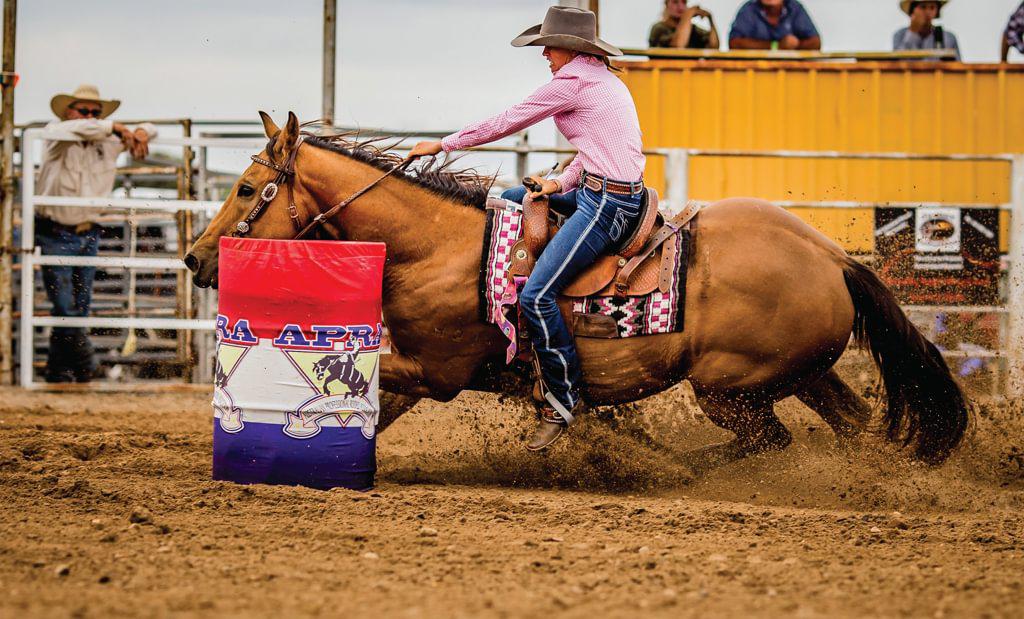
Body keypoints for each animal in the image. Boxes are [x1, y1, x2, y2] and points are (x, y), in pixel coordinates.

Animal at [182, 112, 966, 469]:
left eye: (248, 188)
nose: (193, 258)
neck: (437, 247)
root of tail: (831, 254)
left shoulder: (437, 370)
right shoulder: (426, 370)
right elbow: (376, 408)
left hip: (729, 389)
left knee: (768, 440)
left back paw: (666, 466)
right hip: (801, 374)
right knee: (854, 424)